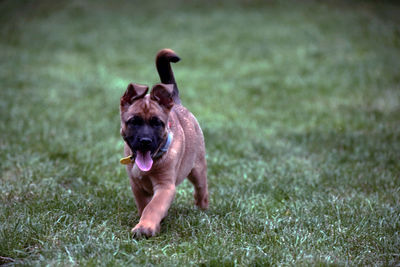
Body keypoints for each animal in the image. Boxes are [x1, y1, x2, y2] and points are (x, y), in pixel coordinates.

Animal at [119, 48, 209, 239]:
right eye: (134, 121)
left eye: (157, 123)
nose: (145, 141)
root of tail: (178, 103)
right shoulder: (136, 185)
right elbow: (145, 206)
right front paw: (152, 223)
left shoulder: (165, 186)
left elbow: (153, 207)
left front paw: (145, 227)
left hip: (197, 168)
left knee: (202, 190)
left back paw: (203, 209)